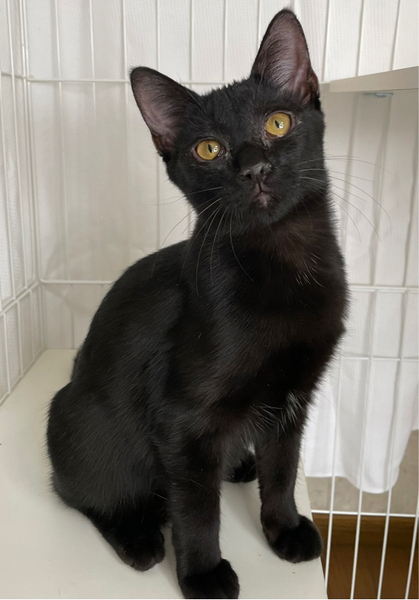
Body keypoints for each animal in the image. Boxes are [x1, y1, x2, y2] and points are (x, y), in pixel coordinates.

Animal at [47, 9, 348, 599]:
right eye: (207, 149)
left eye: (278, 123)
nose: (253, 168)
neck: (283, 264)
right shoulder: (183, 421)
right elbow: (197, 507)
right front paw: (204, 573)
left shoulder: (295, 395)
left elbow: (284, 469)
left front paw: (284, 529)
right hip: (84, 425)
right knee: (83, 492)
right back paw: (138, 537)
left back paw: (239, 466)